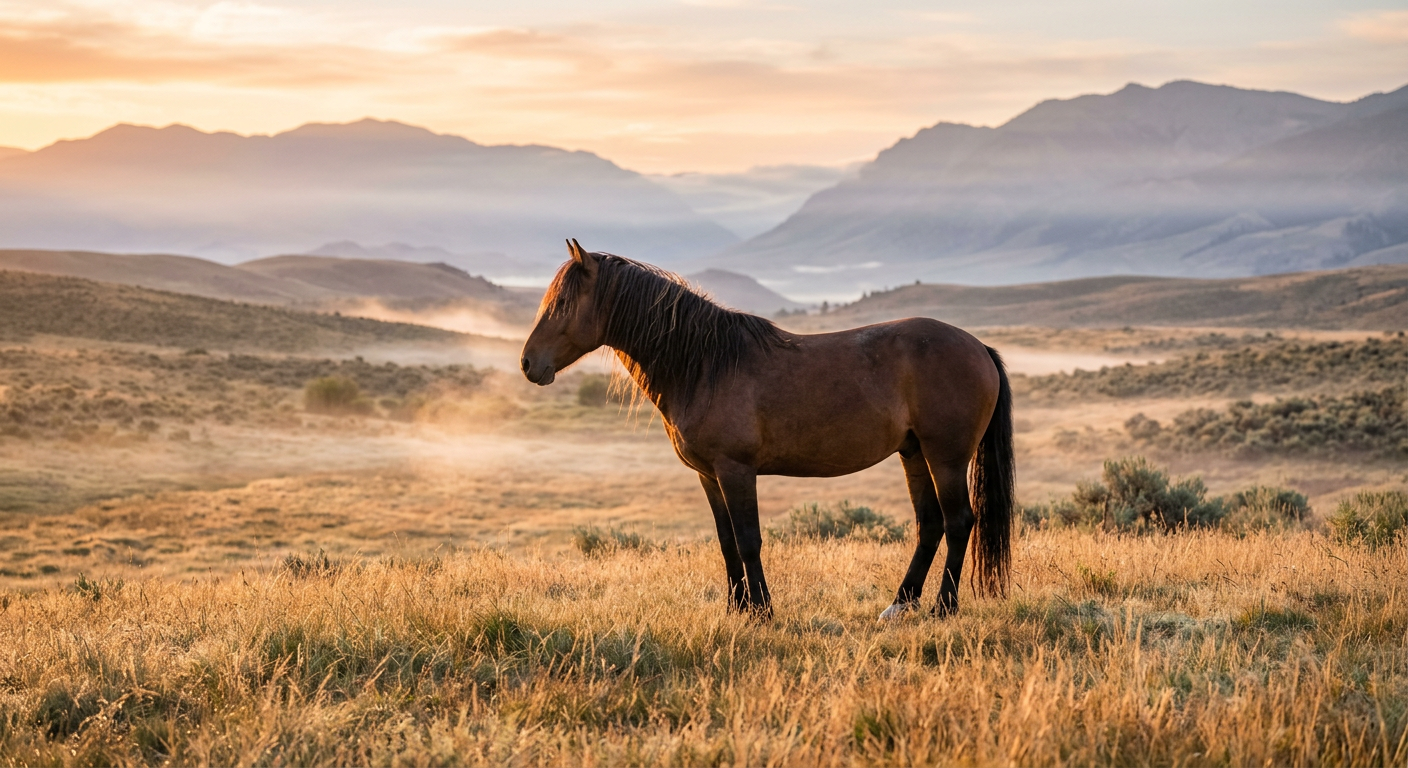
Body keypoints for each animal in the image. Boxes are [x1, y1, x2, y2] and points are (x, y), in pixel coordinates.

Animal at [520, 240, 1014, 620]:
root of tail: (979, 347)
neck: (705, 365)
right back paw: (899, 605)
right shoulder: (708, 475)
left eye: (562, 303)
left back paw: (943, 608)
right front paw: (735, 609)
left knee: (958, 521)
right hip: (913, 453)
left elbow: (749, 540)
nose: (528, 364)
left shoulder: (736, 470)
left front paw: (761, 611)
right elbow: (726, 543)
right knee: (929, 524)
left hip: (945, 456)